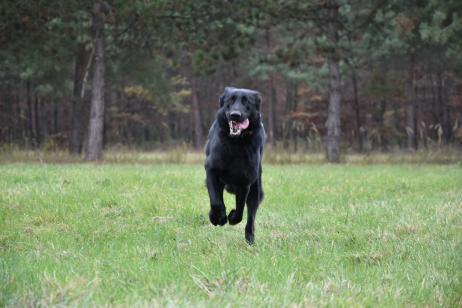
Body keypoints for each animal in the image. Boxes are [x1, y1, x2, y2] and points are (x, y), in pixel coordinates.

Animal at [205, 86, 266, 243]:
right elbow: (216, 202)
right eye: (230, 101)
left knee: (250, 217)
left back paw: (250, 238)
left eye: (247, 102)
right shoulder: (211, 171)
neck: (236, 143)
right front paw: (217, 218)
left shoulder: (245, 182)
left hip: (256, 190)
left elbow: (239, 211)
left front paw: (231, 217)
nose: (235, 115)